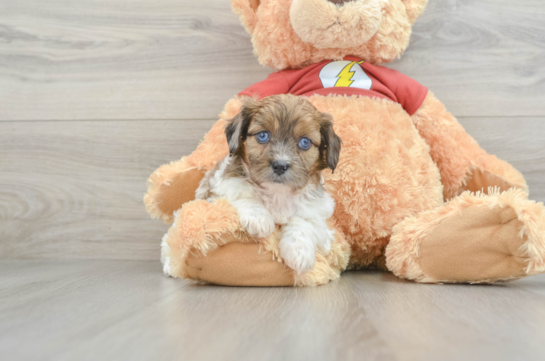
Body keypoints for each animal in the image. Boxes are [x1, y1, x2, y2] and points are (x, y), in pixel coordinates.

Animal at [194, 94, 340, 274]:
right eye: (263, 135)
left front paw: (299, 252)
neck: (278, 193)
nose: (280, 165)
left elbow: (304, 221)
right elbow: (242, 193)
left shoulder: (317, 211)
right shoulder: (221, 188)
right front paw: (258, 218)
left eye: (305, 142)